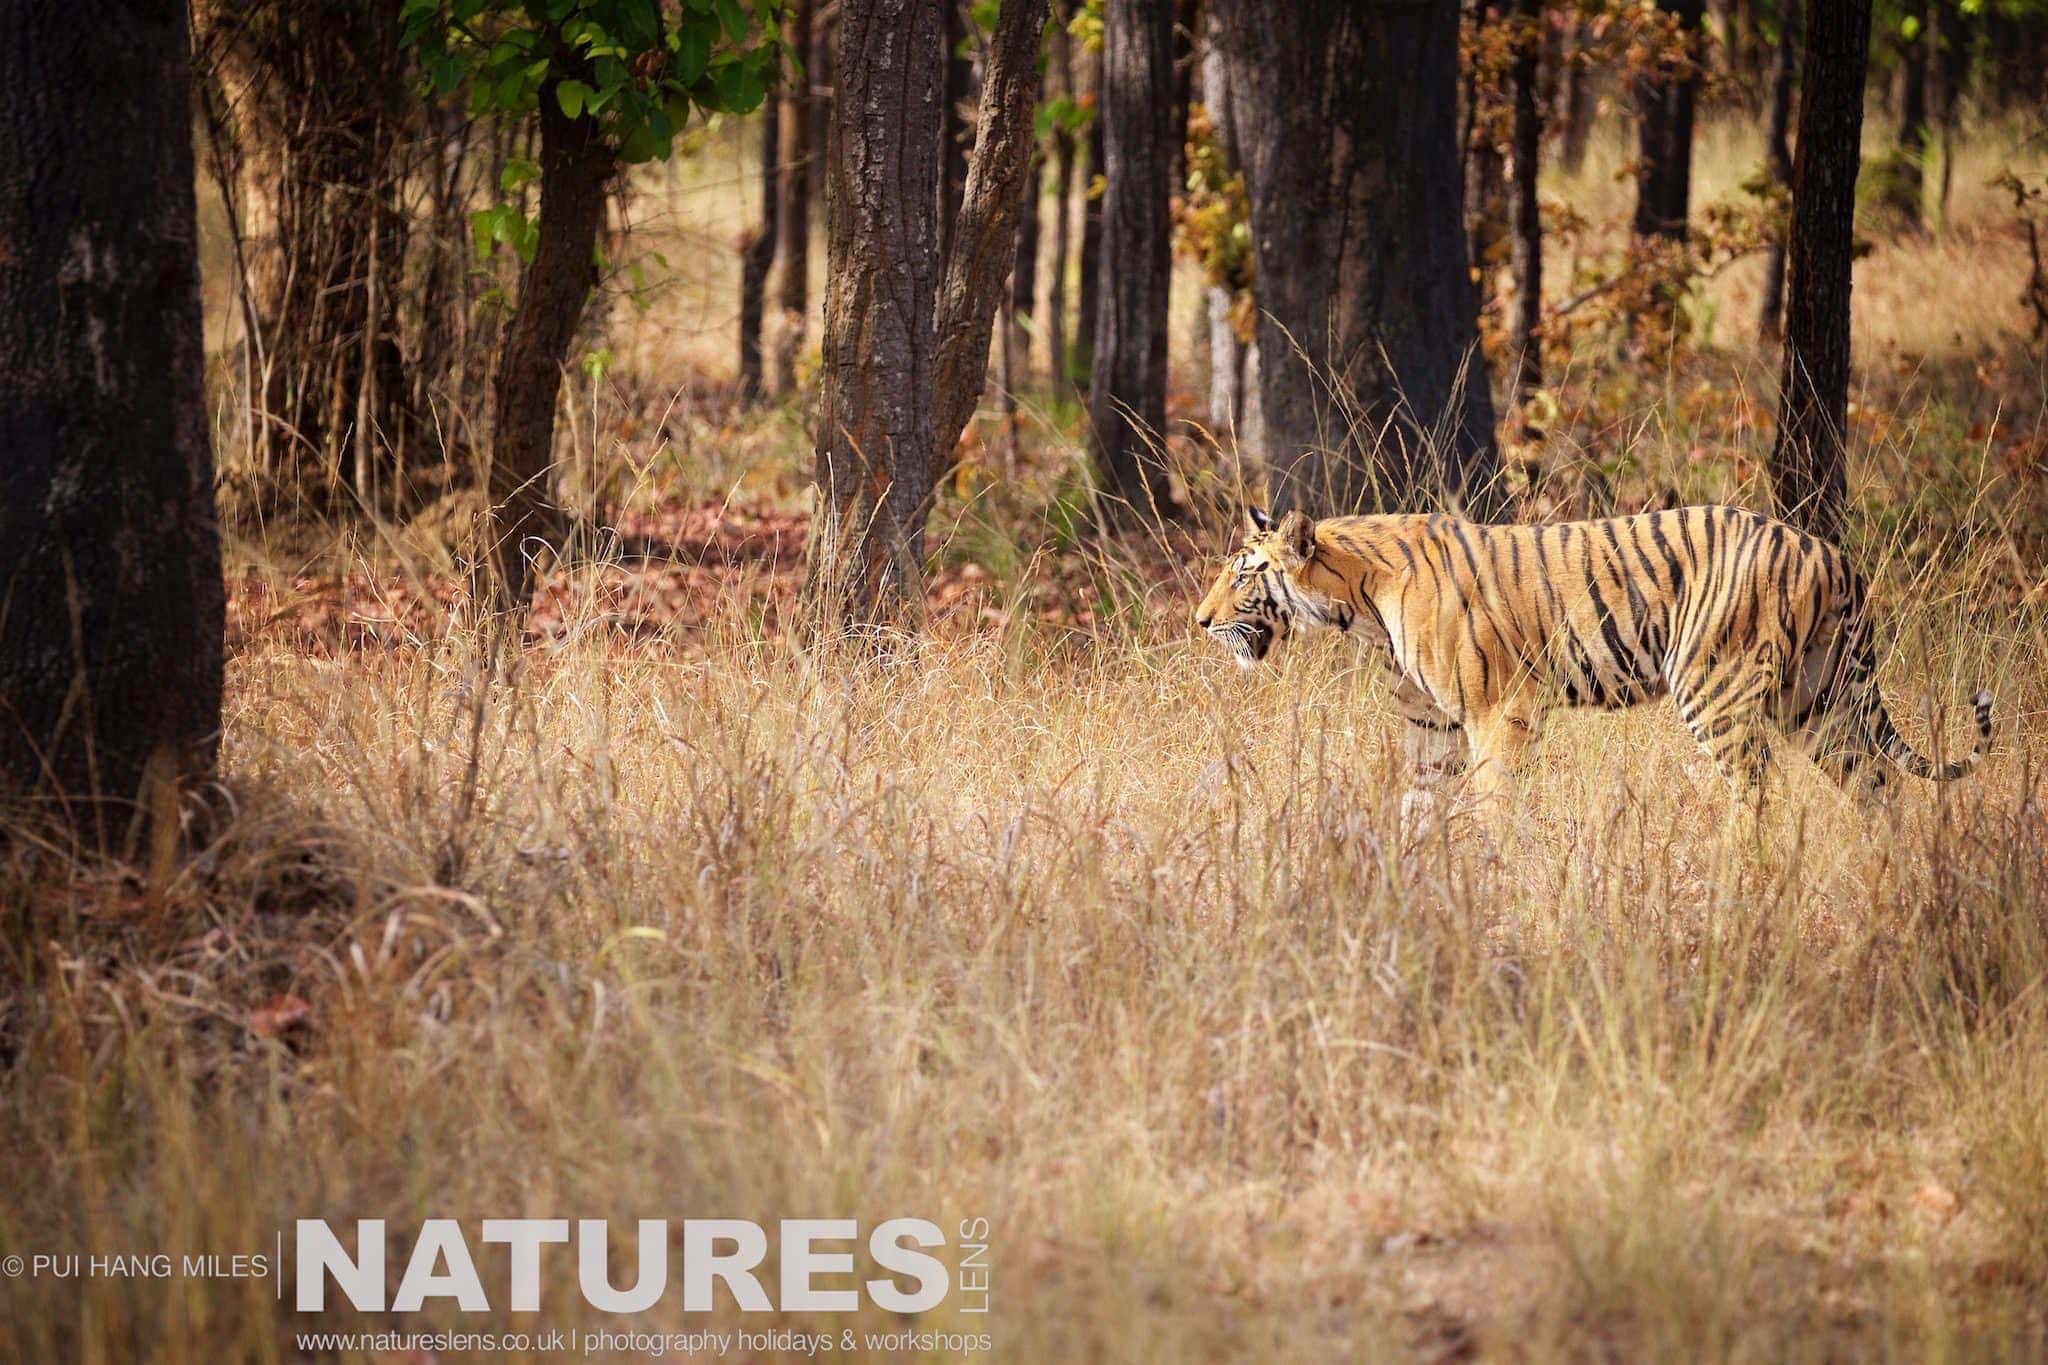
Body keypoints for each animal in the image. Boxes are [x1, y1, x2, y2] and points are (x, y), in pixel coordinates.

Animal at [1194, 504, 1993, 801]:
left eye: (1244, 574)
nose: (1199, 621)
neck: (1360, 608)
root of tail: (1830, 553)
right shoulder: (1432, 724)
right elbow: (1418, 805)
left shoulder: (1502, 710)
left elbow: (1492, 801)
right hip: (1819, 699)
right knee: (1880, 789)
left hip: (1719, 688)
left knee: (1755, 790)